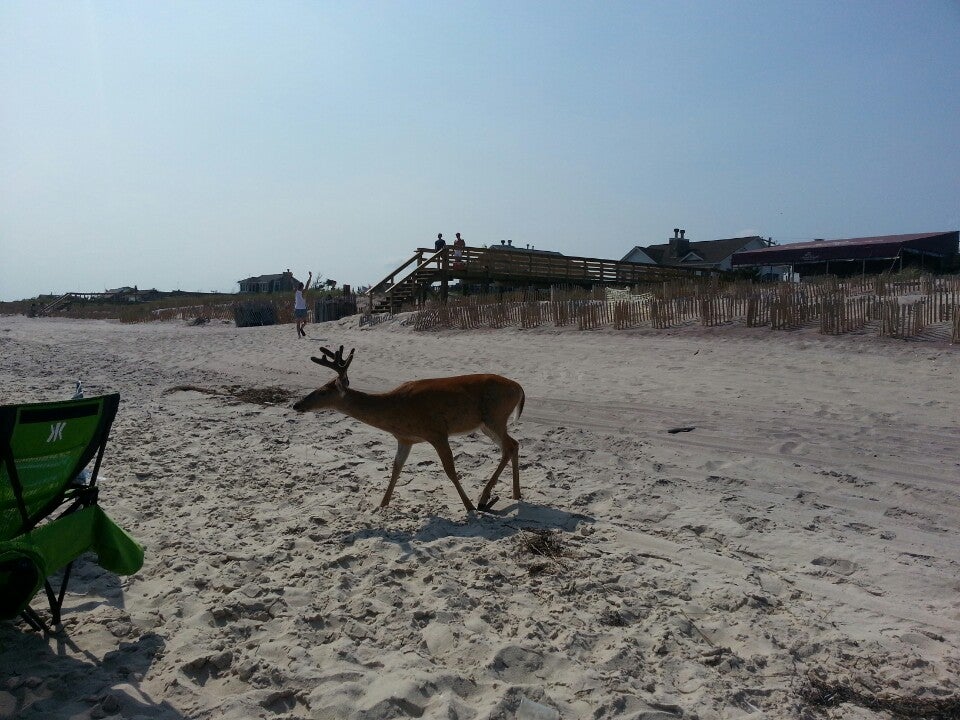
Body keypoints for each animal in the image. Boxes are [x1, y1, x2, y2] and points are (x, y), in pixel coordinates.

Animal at [294, 348, 524, 512]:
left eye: (323, 391)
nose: (297, 404)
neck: (396, 408)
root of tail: (519, 388)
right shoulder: (405, 438)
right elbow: (396, 467)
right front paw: (382, 505)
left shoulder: (436, 431)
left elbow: (450, 469)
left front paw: (468, 506)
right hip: (486, 424)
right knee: (514, 444)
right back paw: (515, 494)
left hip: (495, 416)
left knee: (508, 446)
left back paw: (484, 499)